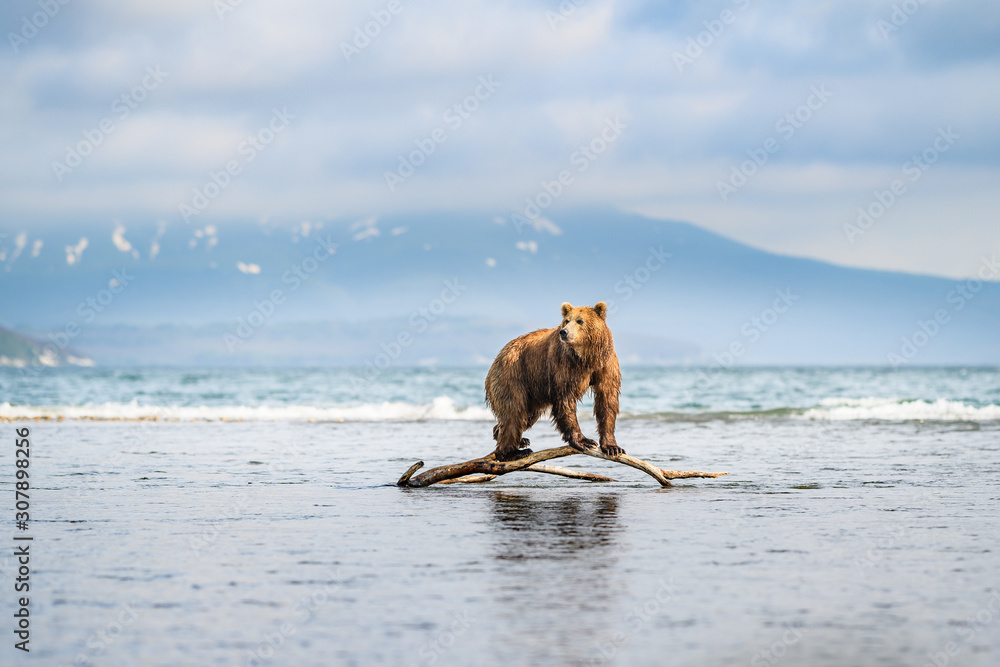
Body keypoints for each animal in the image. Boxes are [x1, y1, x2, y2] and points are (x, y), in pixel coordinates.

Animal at [485, 301, 623, 462]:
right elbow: (565, 400)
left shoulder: (605, 363)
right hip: (512, 376)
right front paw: (584, 441)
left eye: (580, 321)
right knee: (514, 413)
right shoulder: (563, 365)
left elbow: (607, 400)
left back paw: (514, 438)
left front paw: (612, 447)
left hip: (532, 392)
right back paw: (512, 452)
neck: (587, 357)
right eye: (567, 320)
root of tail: (497, 357)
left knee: (525, 416)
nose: (564, 332)